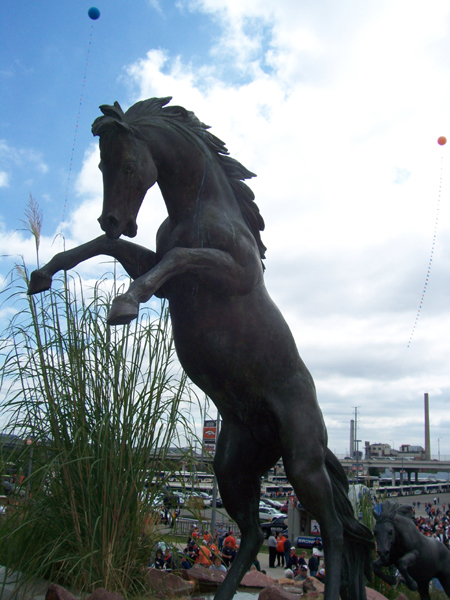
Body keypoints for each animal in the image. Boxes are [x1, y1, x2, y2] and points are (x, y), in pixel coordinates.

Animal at [28, 96, 372, 596]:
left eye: (128, 164)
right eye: (101, 164)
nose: (113, 221)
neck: (199, 209)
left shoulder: (226, 271)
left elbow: (179, 256)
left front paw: (123, 305)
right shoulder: (163, 278)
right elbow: (105, 249)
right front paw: (42, 274)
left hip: (301, 464)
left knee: (333, 531)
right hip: (232, 467)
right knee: (251, 534)